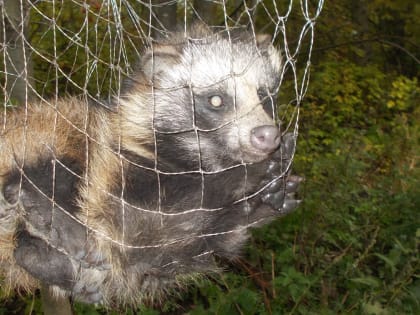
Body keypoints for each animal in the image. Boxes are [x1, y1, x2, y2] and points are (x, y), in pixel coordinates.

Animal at [0, 27, 302, 306]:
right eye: (216, 99)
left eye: (263, 95)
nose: (267, 135)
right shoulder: (118, 166)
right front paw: (247, 176)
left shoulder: (168, 250)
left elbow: (205, 242)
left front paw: (263, 198)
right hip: (37, 135)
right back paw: (49, 215)